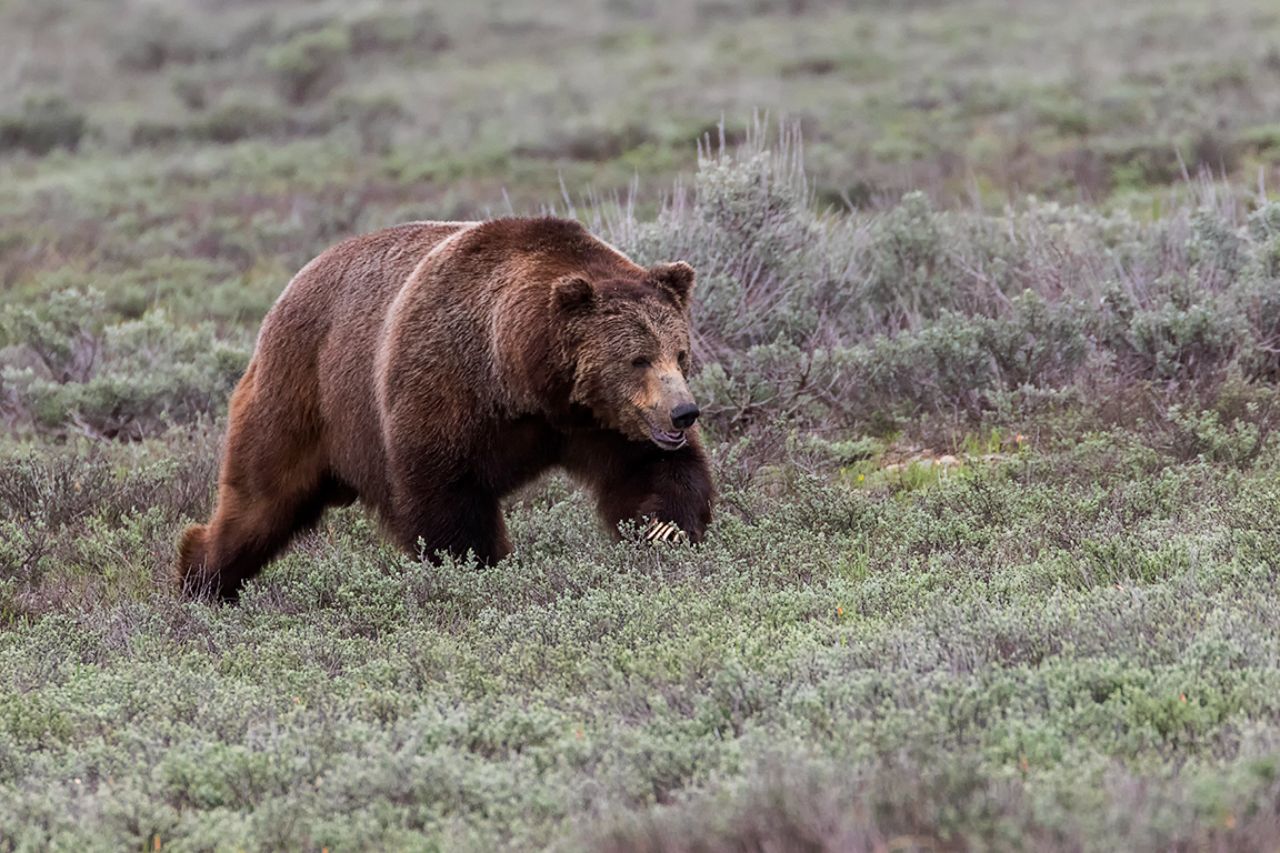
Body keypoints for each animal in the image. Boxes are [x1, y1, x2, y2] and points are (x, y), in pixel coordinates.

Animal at [177, 217, 714, 601]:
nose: (683, 413)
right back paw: (201, 577)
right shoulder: (445, 380)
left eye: (679, 353)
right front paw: (477, 563)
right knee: (261, 499)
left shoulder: (600, 422)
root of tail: (289, 289)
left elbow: (651, 470)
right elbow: (443, 492)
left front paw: (665, 529)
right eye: (637, 358)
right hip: (302, 395)